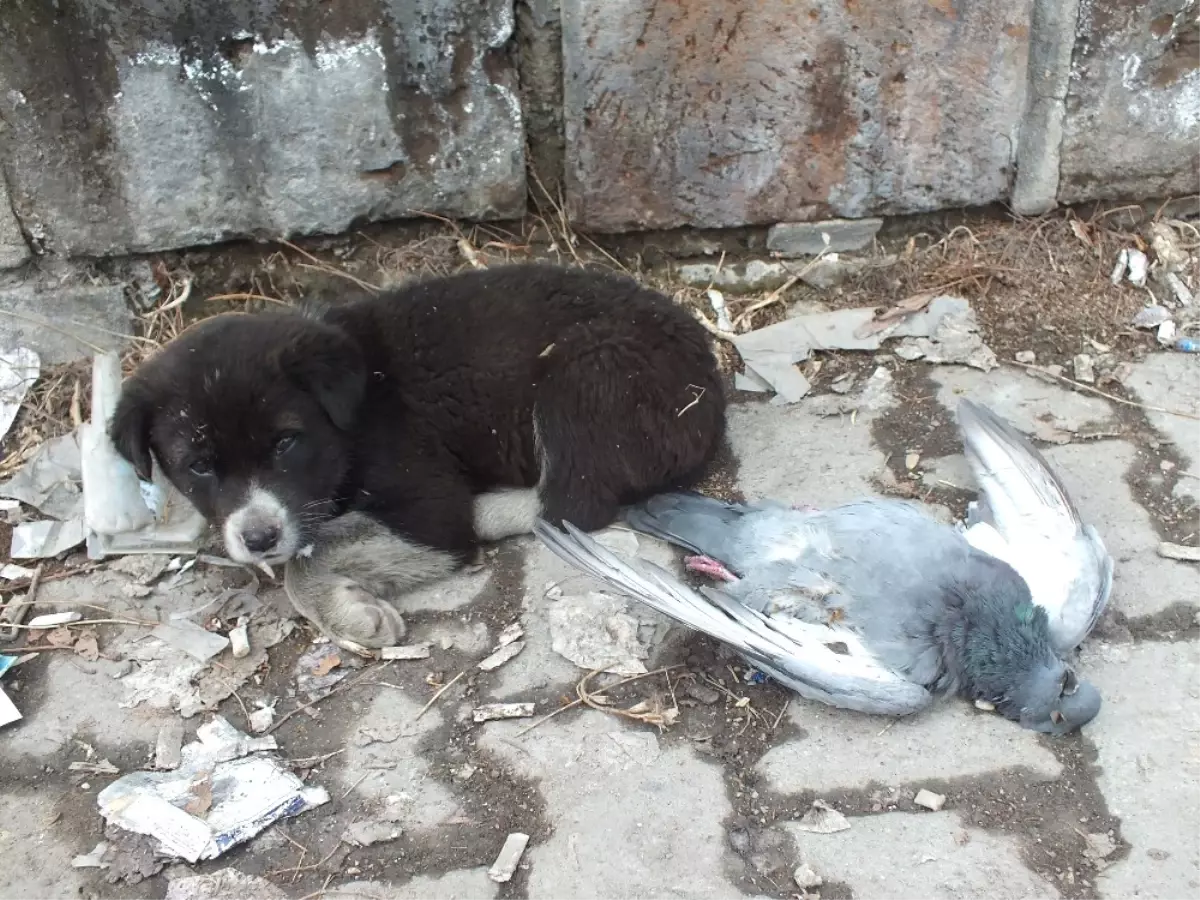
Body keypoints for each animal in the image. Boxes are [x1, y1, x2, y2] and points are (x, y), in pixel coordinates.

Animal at [112, 264, 724, 652]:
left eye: (285, 443)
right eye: (198, 465)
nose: (258, 538)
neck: (351, 424)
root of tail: (710, 379)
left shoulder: (427, 506)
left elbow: (306, 562)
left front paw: (351, 613)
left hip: (584, 376)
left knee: (573, 502)